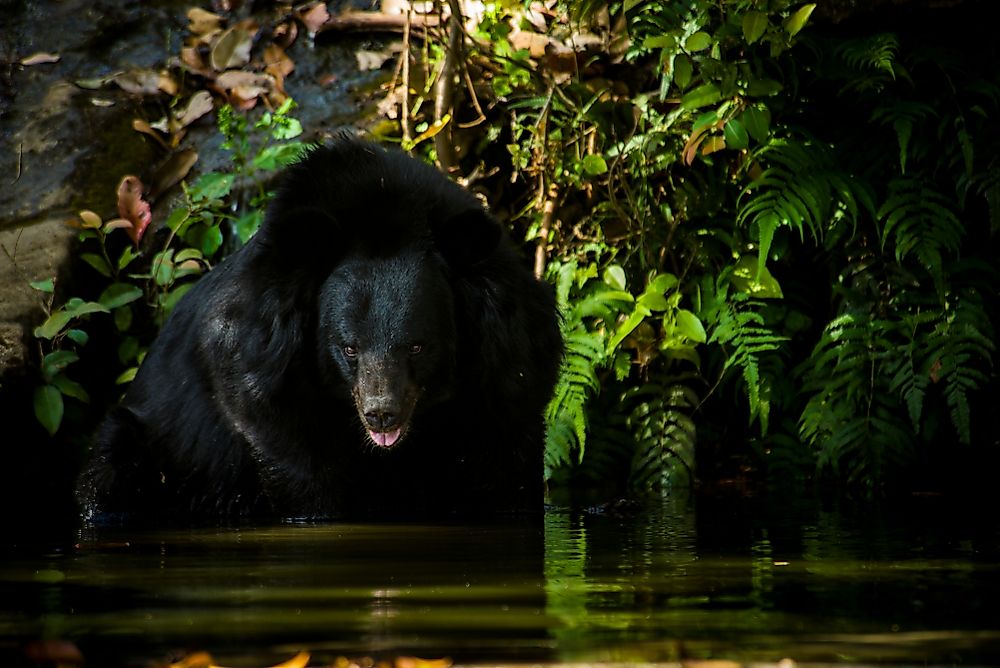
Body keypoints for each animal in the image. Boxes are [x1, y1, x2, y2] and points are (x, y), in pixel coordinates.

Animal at [78, 137, 564, 520]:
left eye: (418, 347)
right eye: (349, 348)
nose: (381, 412)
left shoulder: (505, 375)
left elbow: (505, 466)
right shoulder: (264, 375)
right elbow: (302, 473)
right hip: (146, 445)